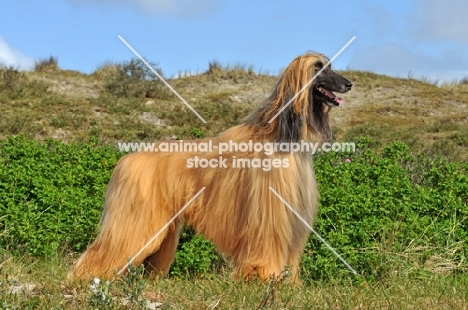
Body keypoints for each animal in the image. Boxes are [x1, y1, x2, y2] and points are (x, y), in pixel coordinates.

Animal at [69, 52, 352, 280]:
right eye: (319, 68)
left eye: (331, 66)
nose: (349, 84)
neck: (282, 134)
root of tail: (128, 159)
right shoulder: (268, 212)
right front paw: (267, 279)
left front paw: (288, 284)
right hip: (136, 222)